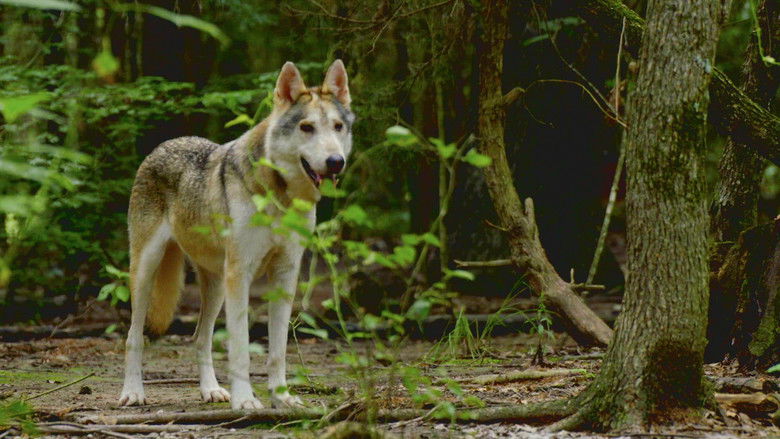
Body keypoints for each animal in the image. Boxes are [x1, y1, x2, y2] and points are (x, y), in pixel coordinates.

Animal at [119, 60, 353, 409]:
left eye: (337, 126)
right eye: (307, 127)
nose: (335, 162)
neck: (279, 198)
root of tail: (164, 144)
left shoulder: (285, 275)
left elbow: (277, 351)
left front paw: (281, 397)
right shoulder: (240, 274)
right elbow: (241, 347)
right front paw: (245, 401)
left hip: (216, 286)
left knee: (200, 339)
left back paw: (211, 390)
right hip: (147, 272)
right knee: (133, 336)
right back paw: (133, 392)